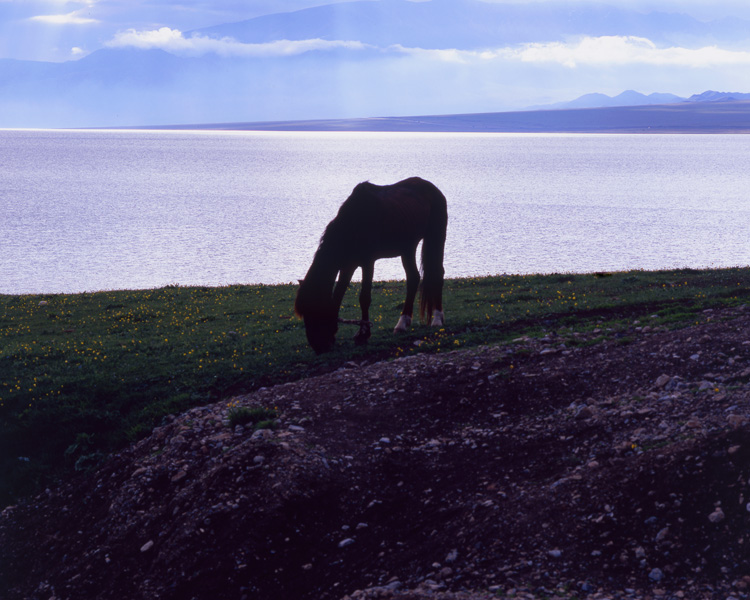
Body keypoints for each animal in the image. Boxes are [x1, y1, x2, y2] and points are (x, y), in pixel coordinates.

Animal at [294, 178, 446, 356]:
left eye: (316, 310)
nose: (319, 347)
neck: (353, 223)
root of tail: (431, 187)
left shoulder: (367, 262)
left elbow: (364, 298)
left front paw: (363, 334)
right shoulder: (348, 265)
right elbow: (338, 295)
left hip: (436, 237)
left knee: (437, 275)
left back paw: (437, 319)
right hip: (407, 247)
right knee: (413, 278)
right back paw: (402, 323)